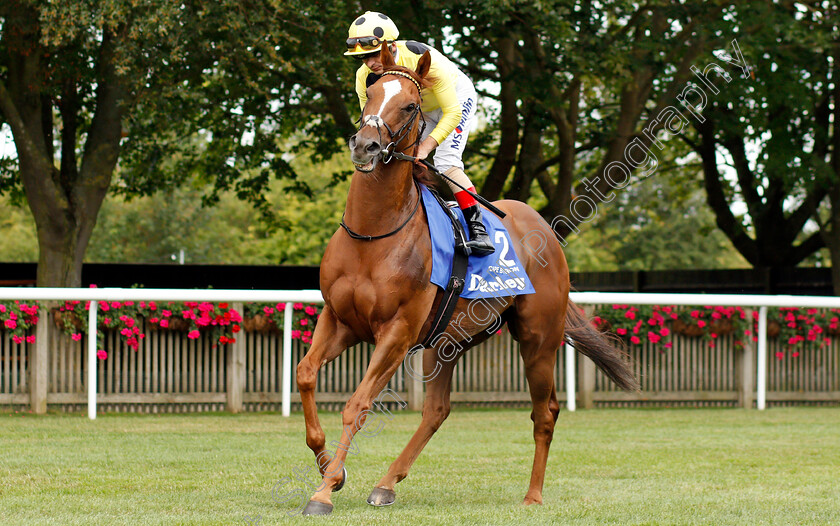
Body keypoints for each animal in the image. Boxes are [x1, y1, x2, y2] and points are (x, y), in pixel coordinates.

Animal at [296, 44, 636, 516]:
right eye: (370, 94)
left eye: (410, 105)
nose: (366, 146)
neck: (373, 234)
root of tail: (544, 230)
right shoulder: (340, 319)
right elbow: (306, 374)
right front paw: (331, 467)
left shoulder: (396, 333)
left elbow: (357, 404)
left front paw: (324, 491)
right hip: (447, 341)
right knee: (437, 410)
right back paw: (386, 484)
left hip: (538, 337)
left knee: (545, 412)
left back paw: (533, 495)